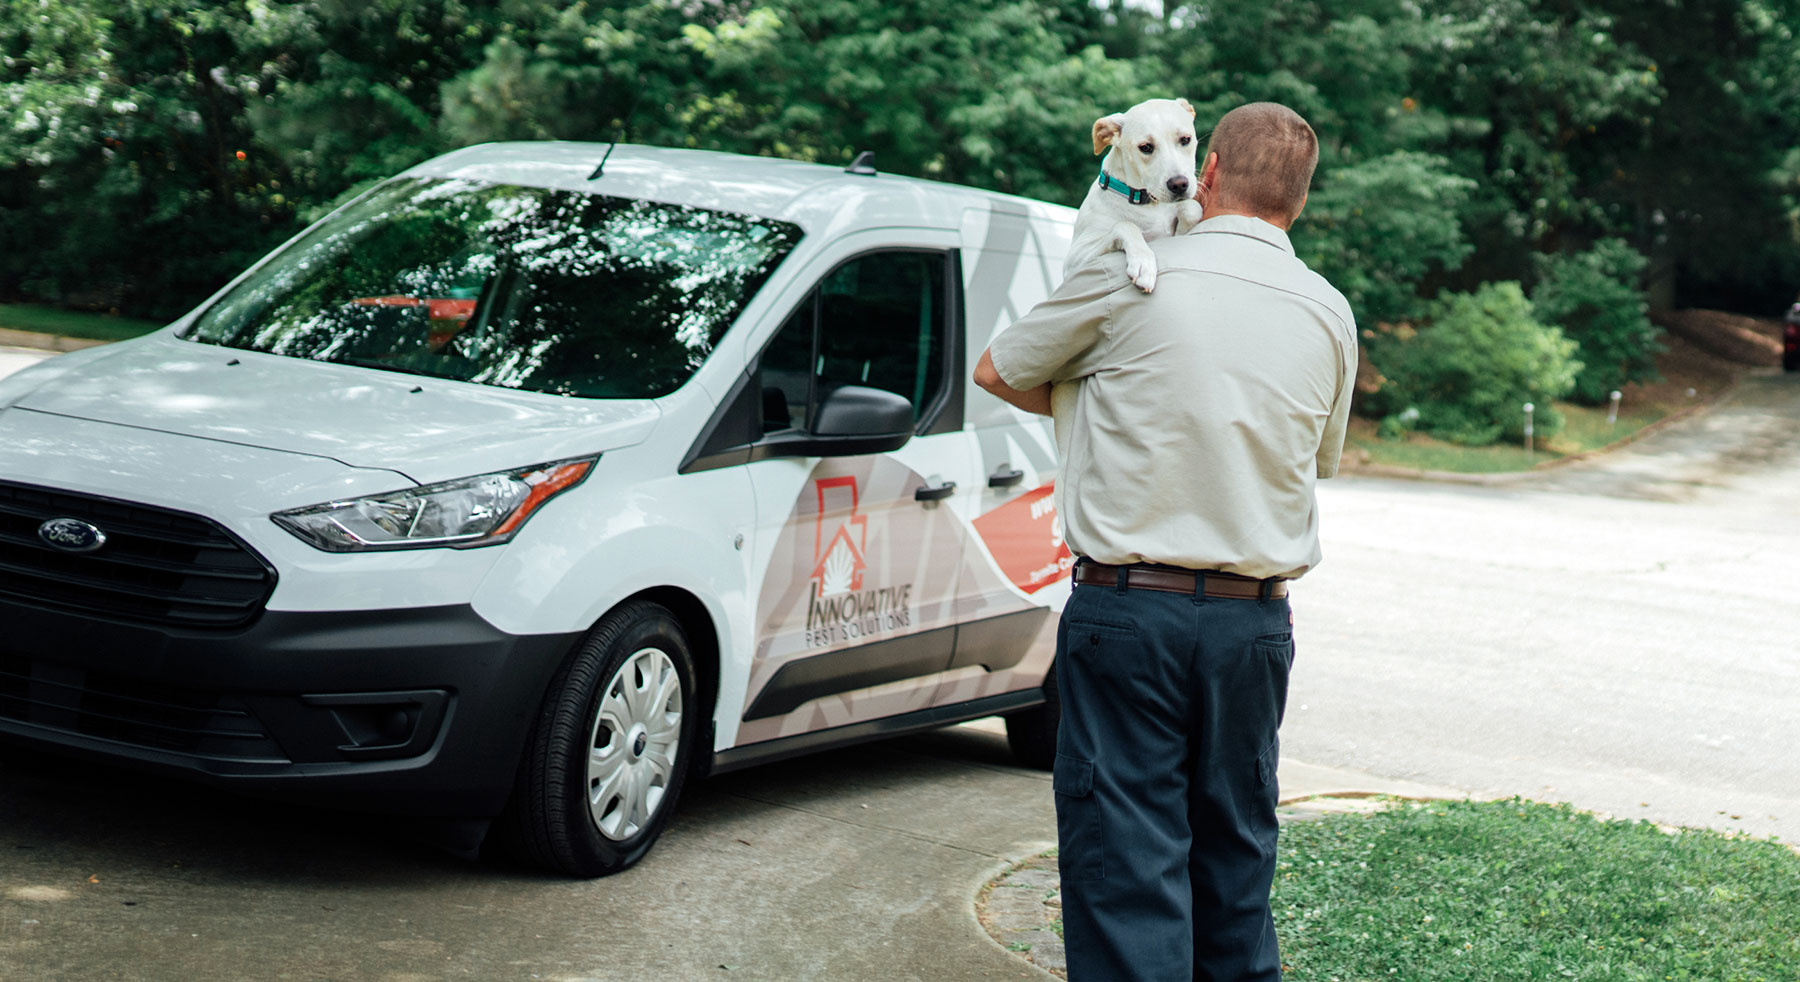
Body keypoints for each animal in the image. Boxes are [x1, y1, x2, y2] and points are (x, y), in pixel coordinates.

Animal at [1058, 97, 1202, 293]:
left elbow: (1192, 208)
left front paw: (1180, 232)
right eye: (1146, 147)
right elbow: (1125, 225)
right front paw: (1143, 263)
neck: (1148, 204)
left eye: (1186, 139)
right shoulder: (1074, 262)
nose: (1179, 185)